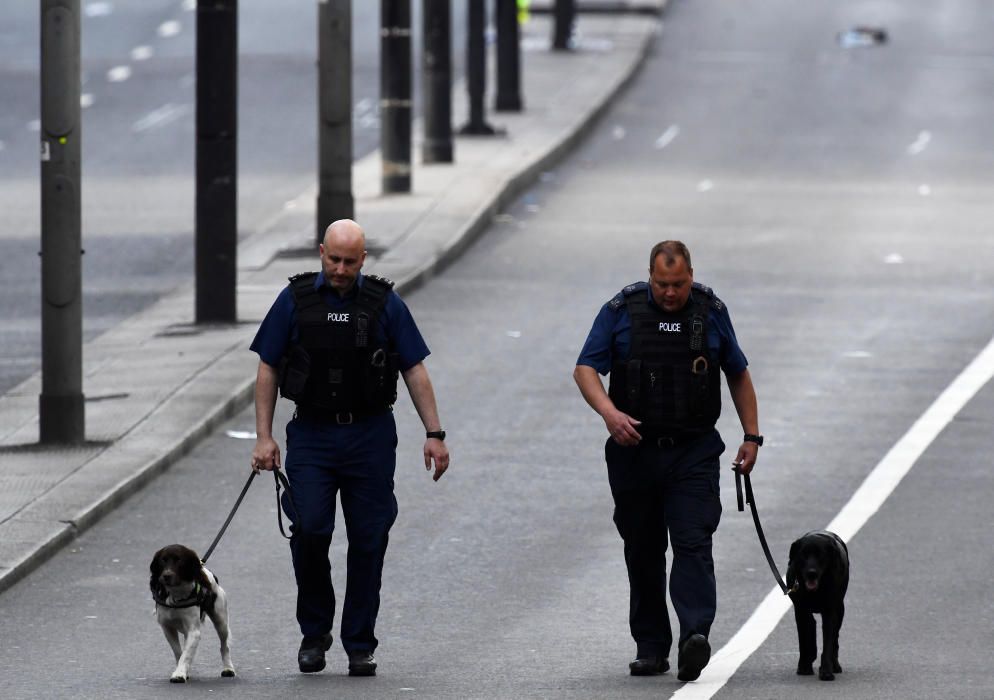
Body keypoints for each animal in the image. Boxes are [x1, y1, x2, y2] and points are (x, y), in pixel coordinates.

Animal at [784, 532, 844, 680]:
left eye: (820, 555)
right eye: (803, 555)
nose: (811, 573)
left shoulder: (830, 611)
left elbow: (828, 642)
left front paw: (826, 670)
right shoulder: (800, 611)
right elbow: (805, 639)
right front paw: (804, 667)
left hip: (840, 610)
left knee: (835, 640)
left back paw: (835, 665)